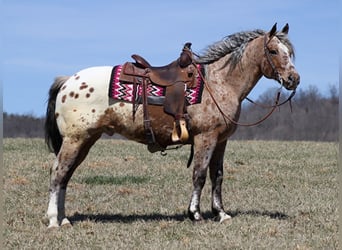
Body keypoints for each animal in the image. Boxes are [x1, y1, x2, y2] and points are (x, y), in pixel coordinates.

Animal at [43, 23, 300, 229]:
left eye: (290, 52)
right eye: (273, 51)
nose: (294, 80)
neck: (219, 83)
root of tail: (68, 81)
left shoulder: (221, 140)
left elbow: (217, 176)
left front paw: (221, 213)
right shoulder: (205, 138)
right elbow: (199, 175)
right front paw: (195, 214)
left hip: (85, 140)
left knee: (66, 175)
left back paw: (64, 219)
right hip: (75, 139)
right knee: (58, 173)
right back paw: (54, 220)